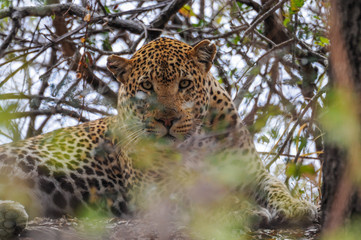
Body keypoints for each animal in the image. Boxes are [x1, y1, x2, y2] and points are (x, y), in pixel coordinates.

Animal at [0, 37, 316, 238]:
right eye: (147, 87)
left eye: (184, 84)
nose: (167, 120)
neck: (195, 141)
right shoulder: (155, 188)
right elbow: (194, 196)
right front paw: (241, 211)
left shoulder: (249, 171)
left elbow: (275, 186)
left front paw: (296, 206)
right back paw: (12, 216)